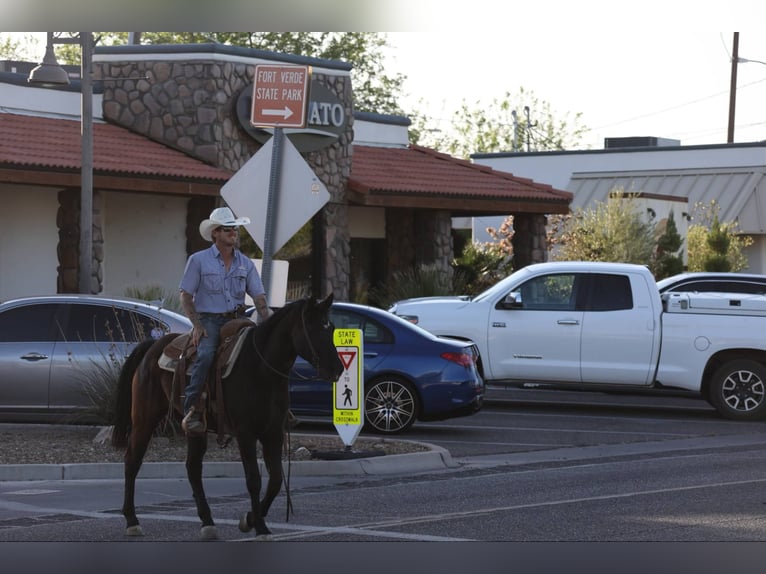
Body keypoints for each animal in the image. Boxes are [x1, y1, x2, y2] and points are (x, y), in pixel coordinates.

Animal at [110, 293, 344, 540]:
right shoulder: (246, 433)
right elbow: (253, 479)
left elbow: (275, 480)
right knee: (132, 462)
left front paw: (250, 519)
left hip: (196, 428)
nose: (337, 369)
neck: (261, 369)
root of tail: (153, 347)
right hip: (144, 419)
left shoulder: (273, 433)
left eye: (331, 328)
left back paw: (207, 522)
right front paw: (260, 527)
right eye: (314, 328)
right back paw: (132, 521)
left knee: (193, 468)